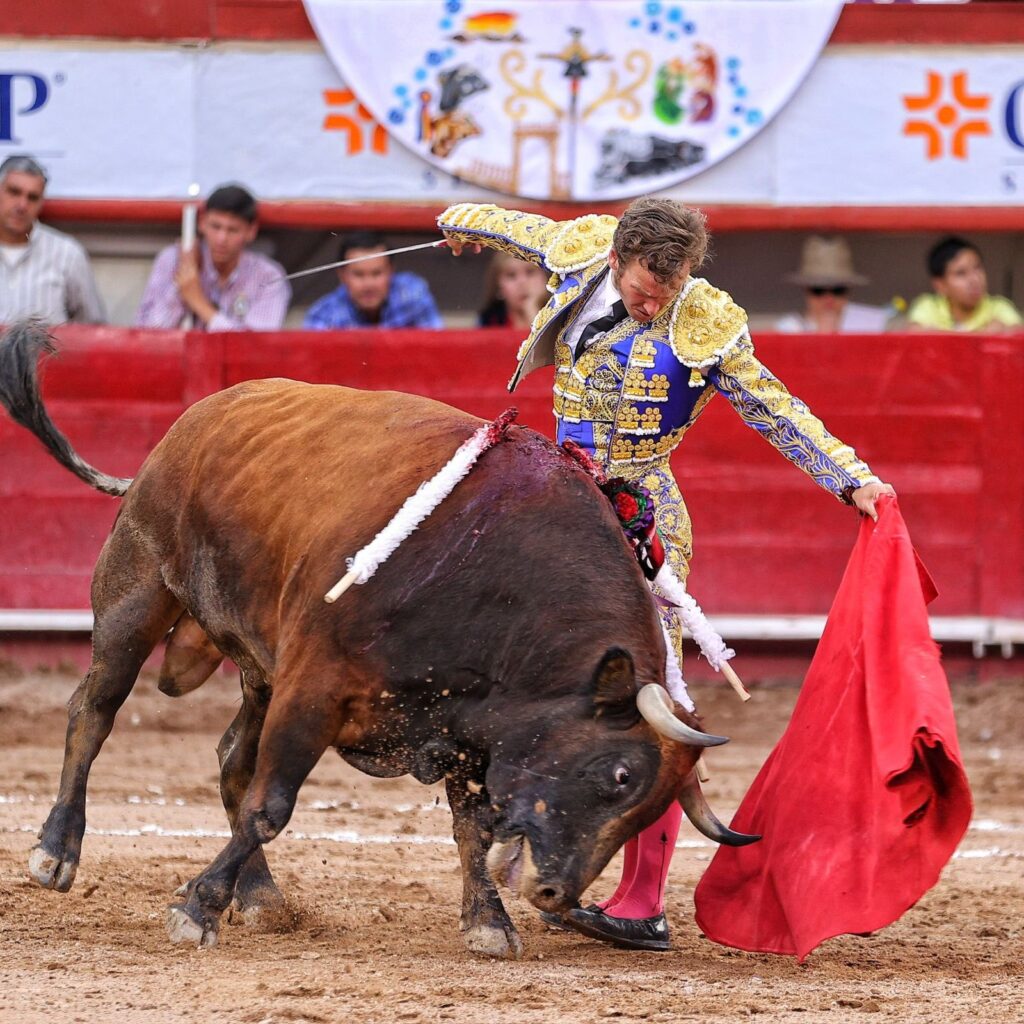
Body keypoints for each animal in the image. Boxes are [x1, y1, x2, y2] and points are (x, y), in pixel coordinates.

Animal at [0, 325, 753, 958]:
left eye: (647, 809)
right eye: (619, 774)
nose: (553, 894)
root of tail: (192, 422)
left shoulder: (466, 728)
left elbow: (471, 826)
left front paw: (488, 922)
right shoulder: (315, 686)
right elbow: (272, 806)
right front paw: (196, 909)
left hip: (260, 666)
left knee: (231, 759)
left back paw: (262, 897)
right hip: (136, 590)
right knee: (96, 710)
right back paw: (56, 853)